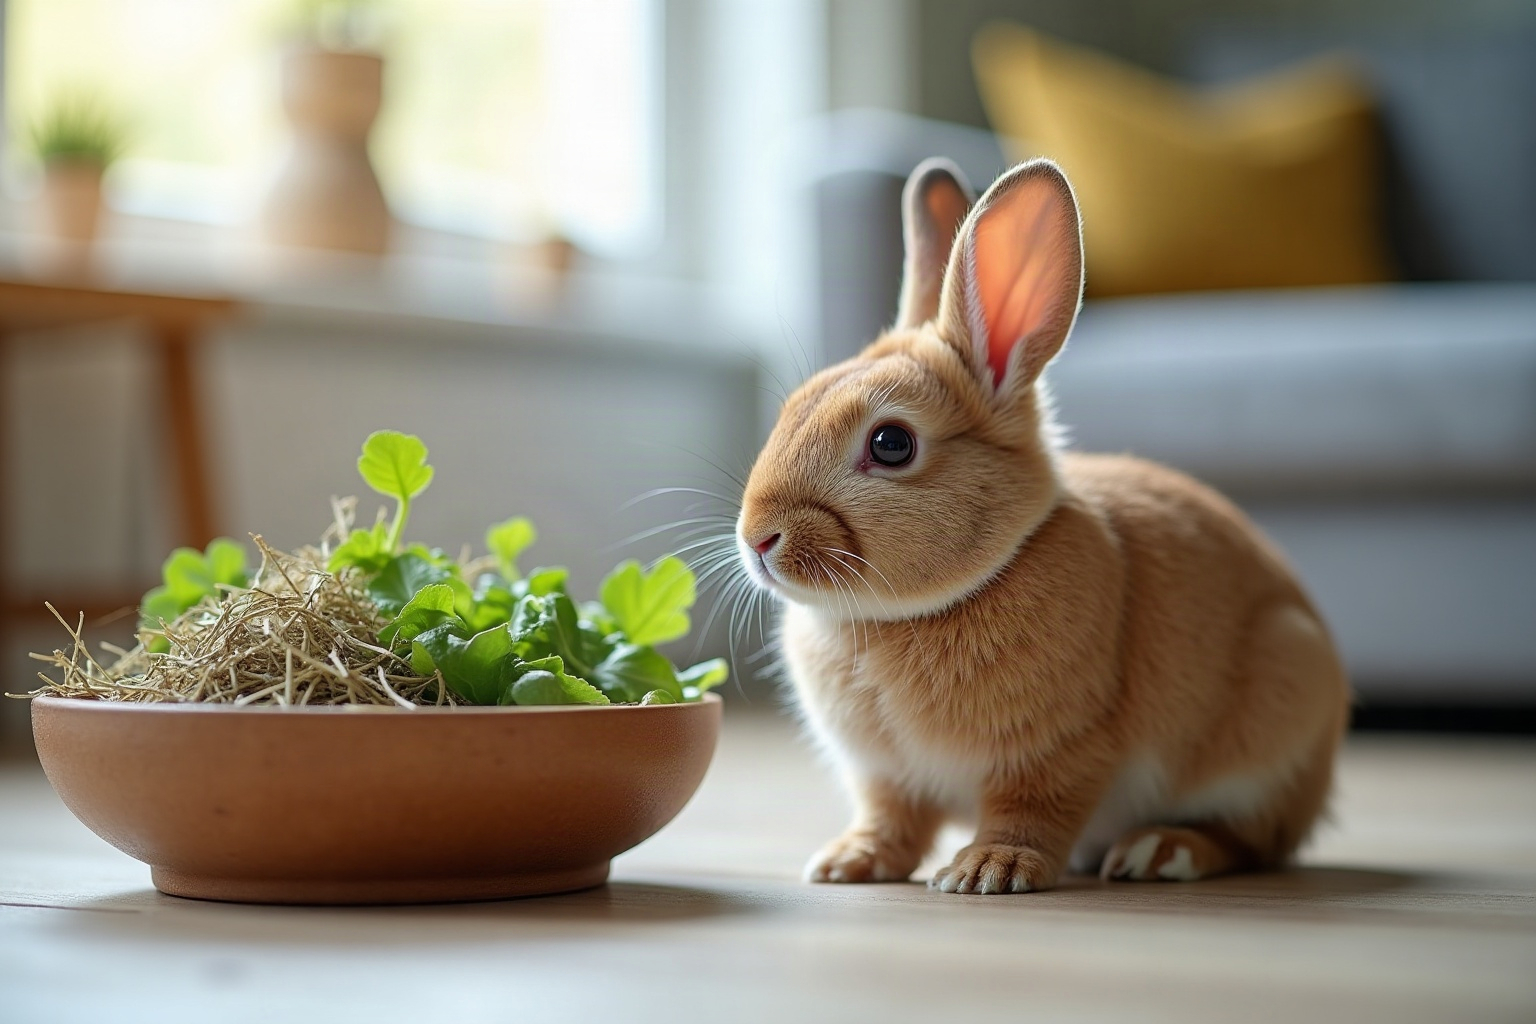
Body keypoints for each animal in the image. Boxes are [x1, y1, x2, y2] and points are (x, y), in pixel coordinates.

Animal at [735, 157, 1351, 895]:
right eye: (792, 407)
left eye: (891, 443)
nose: (757, 538)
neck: (905, 615)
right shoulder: (887, 776)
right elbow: (891, 819)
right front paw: (847, 862)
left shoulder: (1058, 750)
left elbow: (1030, 812)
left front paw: (987, 871)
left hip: (1274, 715)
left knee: (1255, 839)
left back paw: (1160, 851)